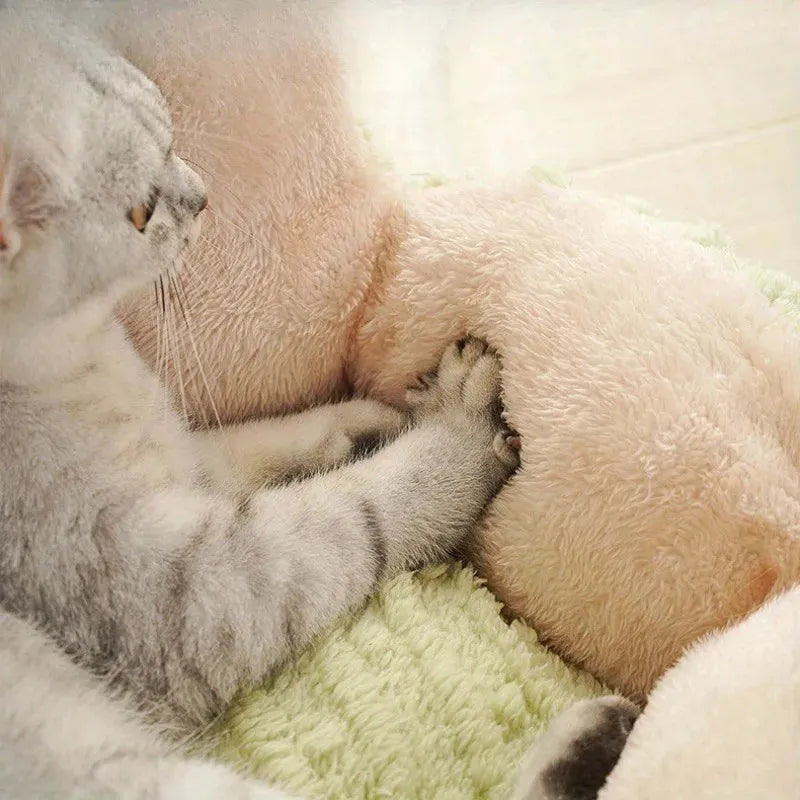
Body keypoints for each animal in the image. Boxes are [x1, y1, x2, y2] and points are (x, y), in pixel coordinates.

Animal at [0, 9, 520, 796]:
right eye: (139, 213)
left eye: (171, 134)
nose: (202, 196)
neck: (87, 353)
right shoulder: (185, 594)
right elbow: (362, 510)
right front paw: (451, 429)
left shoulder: (188, 460)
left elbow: (272, 439)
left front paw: (374, 421)